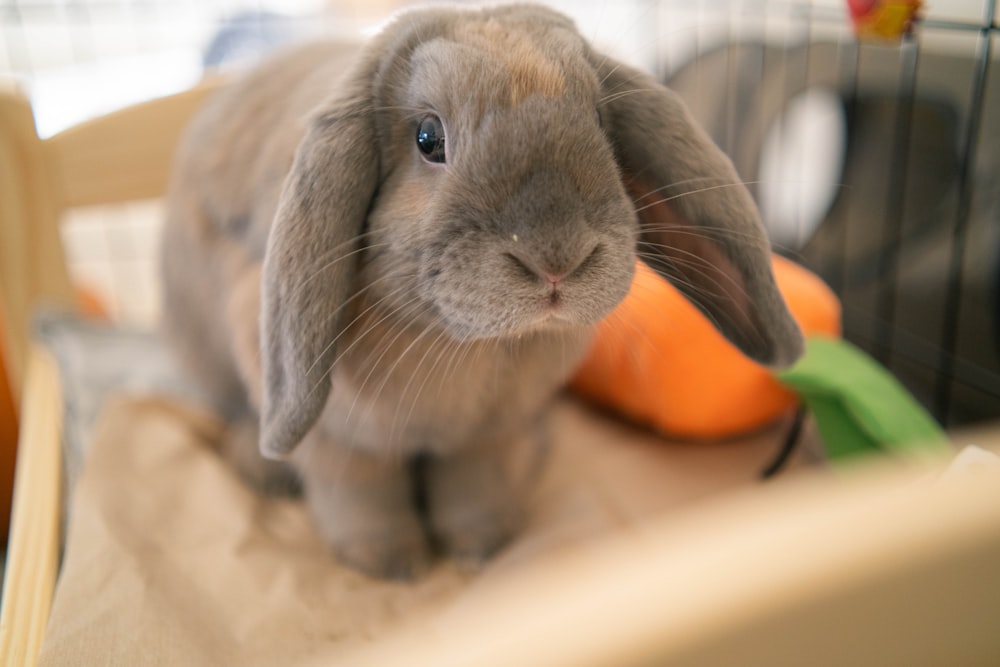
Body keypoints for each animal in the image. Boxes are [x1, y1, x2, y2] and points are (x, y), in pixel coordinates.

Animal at [164, 2, 804, 580]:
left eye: (602, 123)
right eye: (428, 138)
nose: (557, 260)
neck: (469, 346)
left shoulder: (488, 437)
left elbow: (472, 486)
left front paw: (482, 547)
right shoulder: (340, 442)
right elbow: (362, 495)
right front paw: (392, 565)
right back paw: (262, 469)